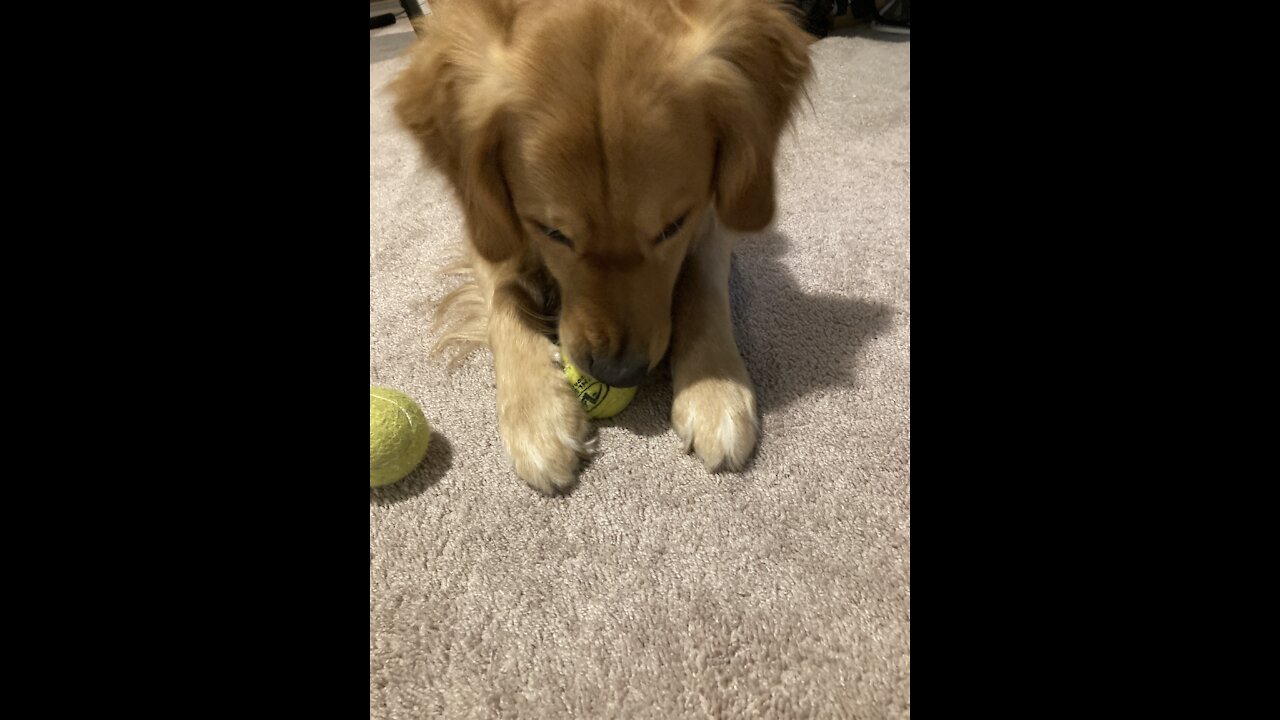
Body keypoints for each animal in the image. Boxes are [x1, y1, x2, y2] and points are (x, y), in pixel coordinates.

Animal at [389, 0, 808, 489]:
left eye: (672, 226)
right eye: (552, 233)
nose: (617, 372)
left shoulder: (710, 215)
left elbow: (704, 286)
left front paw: (714, 387)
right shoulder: (487, 218)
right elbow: (504, 297)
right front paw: (537, 414)